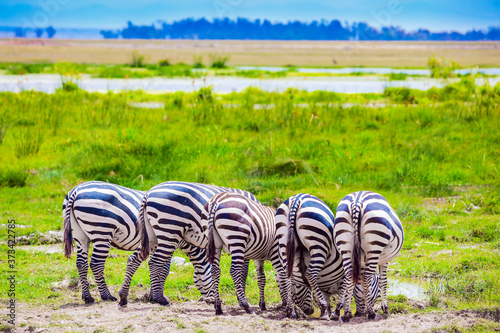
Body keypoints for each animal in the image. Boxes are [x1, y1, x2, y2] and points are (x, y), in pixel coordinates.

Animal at [62, 180, 213, 304]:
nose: (209, 301)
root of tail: (75, 190)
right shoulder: (171, 241)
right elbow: (164, 269)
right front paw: (158, 296)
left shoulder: (157, 244)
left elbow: (155, 266)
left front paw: (152, 295)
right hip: (101, 231)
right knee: (96, 263)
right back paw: (107, 296)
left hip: (80, 236)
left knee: (81, 263)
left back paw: (87, 297)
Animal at [129, 182, 286, 306]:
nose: (284, 303)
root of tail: (148, 193)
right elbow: (243, 272)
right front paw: (240, 296)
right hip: (169, 228)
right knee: (154, 262)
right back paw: (159, 299)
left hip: (153, 235)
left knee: (134, 259)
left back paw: (126, 296)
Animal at [332, 191, 406, 320]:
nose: (359, 313)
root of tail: (357, 202)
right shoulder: (384, 260)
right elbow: (383, 281)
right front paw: (385, 308)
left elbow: (351, 282)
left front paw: (343, 309)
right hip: (375, 244)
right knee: (366, 278)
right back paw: (371, 314)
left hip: (345, 245)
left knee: (349, 275)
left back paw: (344, 314)